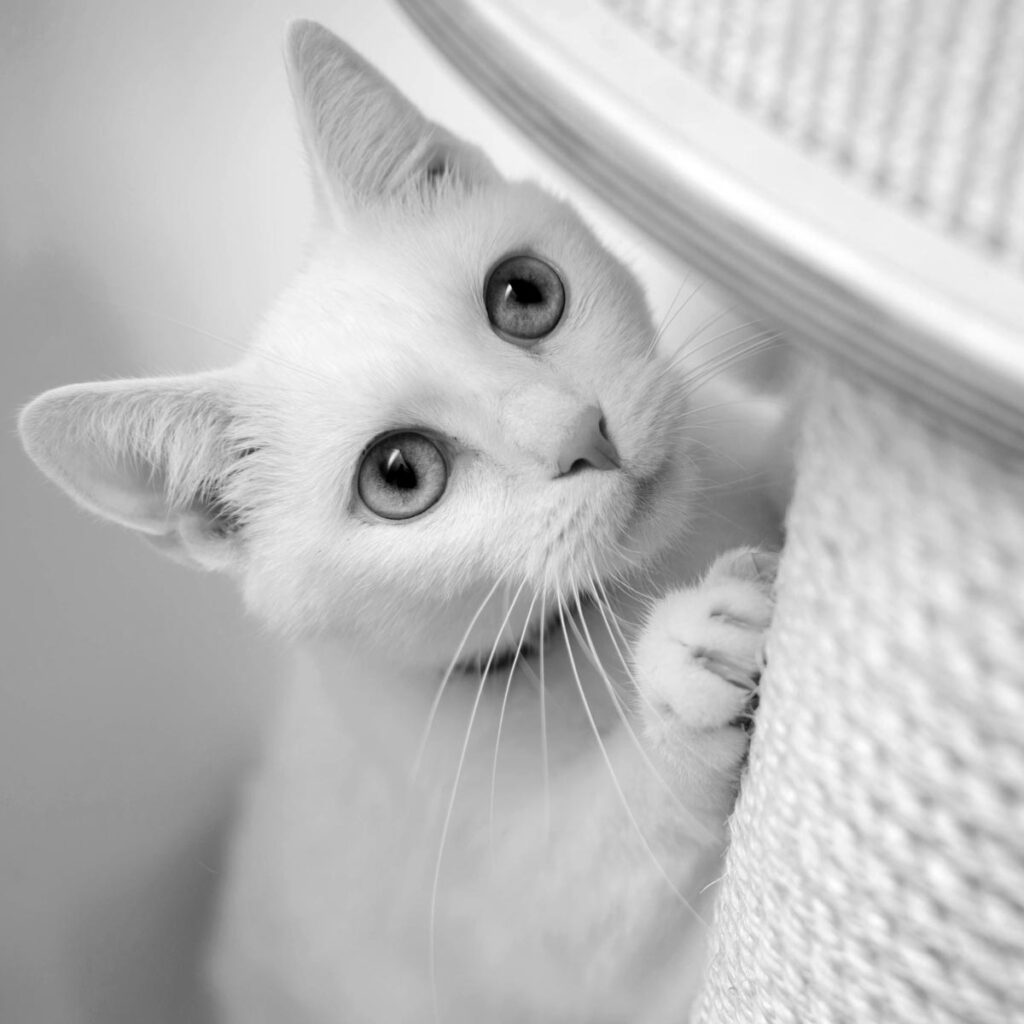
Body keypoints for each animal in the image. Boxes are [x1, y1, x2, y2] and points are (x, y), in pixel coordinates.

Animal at [18, 24, 774, 1024]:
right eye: (400, 476)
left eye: (524, 294)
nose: (580, 435)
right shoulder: (500, 911)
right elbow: (597, 878)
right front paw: (687, 668)